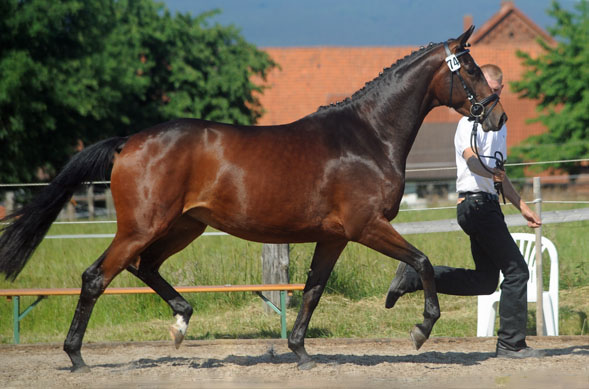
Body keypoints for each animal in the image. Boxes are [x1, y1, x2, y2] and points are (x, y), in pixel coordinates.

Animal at [0, 25, 506, 372]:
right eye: (472, 69)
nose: (497, 115)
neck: (367, 136)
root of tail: (129, 143)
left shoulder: (335, 237)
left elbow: (312, 290)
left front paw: (300, 351)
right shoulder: (367, 226)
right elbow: (422, 261)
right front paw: (421, 329)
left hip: (184, 226)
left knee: (144, 268)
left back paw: (181, 322)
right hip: (143, 227)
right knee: (97, 277)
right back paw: (76, 356)